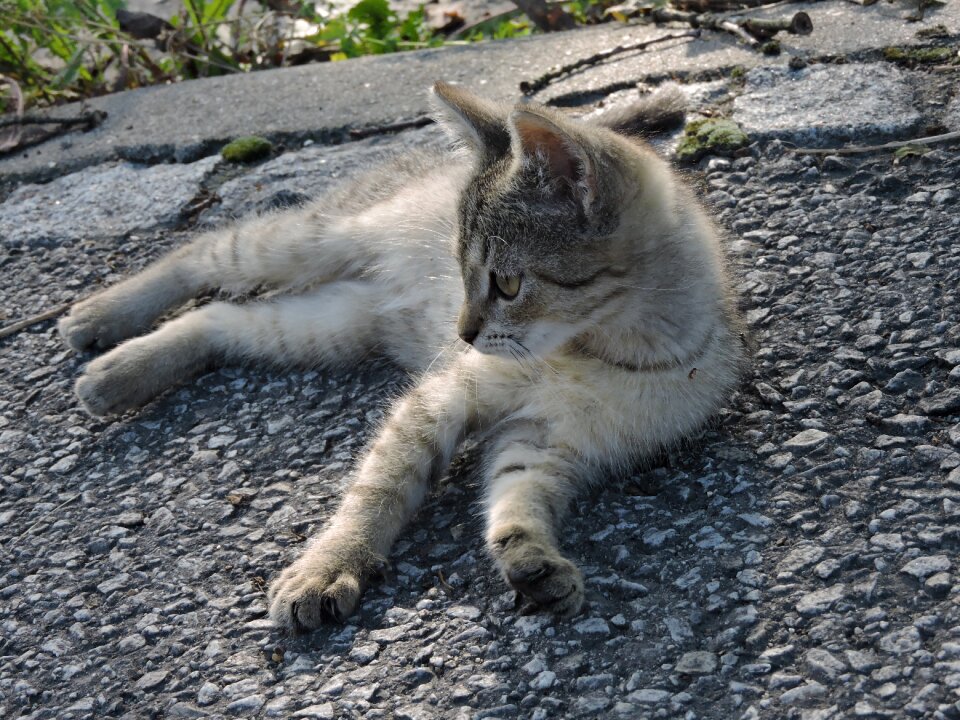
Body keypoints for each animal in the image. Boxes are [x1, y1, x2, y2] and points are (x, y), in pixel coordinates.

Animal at [58, 81, 752, 632]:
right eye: (464, 272)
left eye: (506, 283)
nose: (462, 332)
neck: (611, 351)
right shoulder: (445, 394)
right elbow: (379, 488)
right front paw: (329, 566)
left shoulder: (545, 440)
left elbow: (513, 498)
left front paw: (532, 561)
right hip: (307, 242)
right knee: (203, 252)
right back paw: (99, 320)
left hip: (325, 326)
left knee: (222, 320)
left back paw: (118, 374)